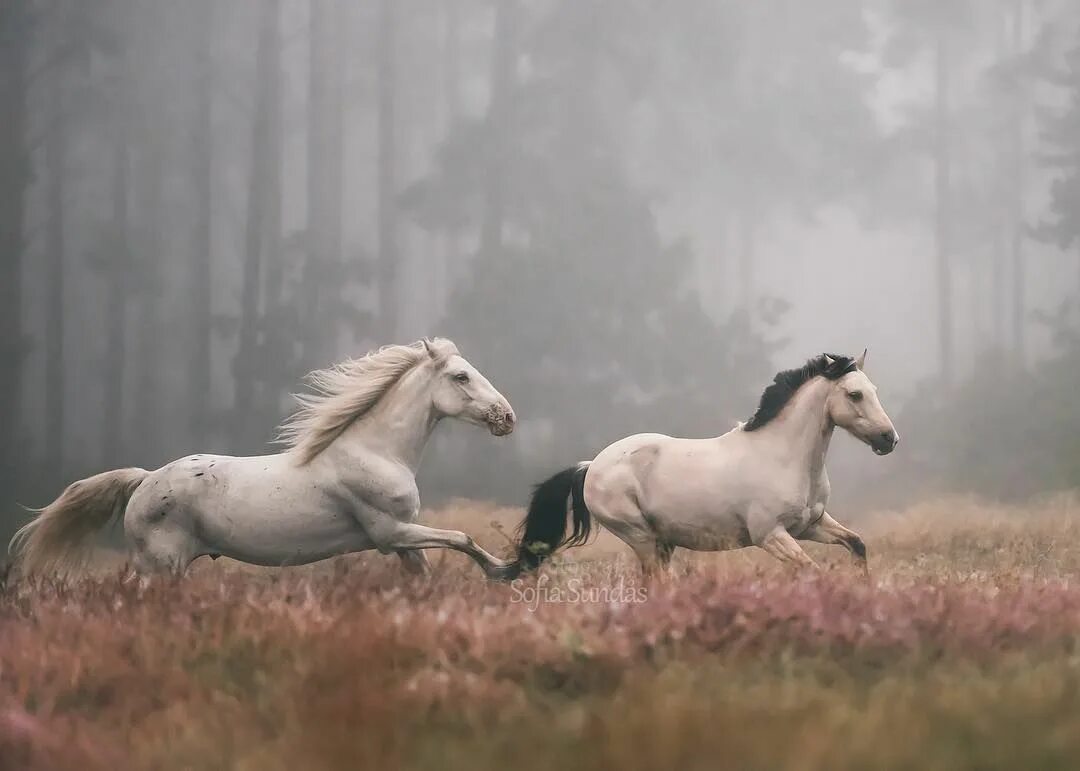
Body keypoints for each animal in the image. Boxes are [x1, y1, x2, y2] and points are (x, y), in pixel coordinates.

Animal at [9, 336, 518, 578]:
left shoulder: (402, 542)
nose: (507, 417)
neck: (375, 452)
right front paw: (505, 570)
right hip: (161, 567)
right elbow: (462, 538)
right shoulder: (391, 531)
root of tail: (145, 479)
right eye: (460, 377)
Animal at [509, 352, 898, 574]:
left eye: (875, 391)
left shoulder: (811, 525)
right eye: (854, 394)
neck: (786, 458)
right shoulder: (771, 536)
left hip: (663, 542)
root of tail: (591, 466)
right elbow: (811, 570)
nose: (889, 439)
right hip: (642, 538)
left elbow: (858, 545)